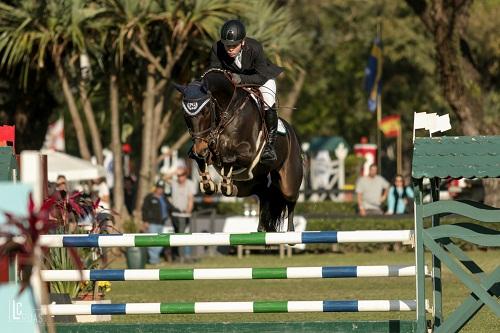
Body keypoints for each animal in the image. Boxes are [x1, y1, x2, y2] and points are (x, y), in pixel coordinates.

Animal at [174, 68, 302, 231]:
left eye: (206, 111)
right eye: (185, 115)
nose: (200, 148)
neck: (227, 112)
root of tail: (293, 135)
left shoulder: (248, 154)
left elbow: (228, 158)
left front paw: (226, 185)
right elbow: (201, 159)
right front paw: (208, 185)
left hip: (288, 183)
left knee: (291, 200)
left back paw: (290, 231)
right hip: (252, 184)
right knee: (264, 194)